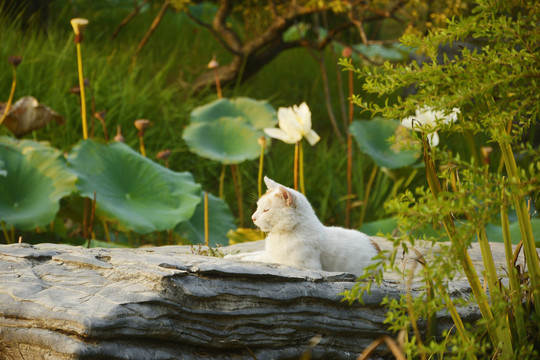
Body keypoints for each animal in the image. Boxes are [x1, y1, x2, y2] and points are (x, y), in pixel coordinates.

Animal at [226, 177, 382, 276]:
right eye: (258, 207)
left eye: (266, 210)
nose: (253, 217)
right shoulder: (272, 252)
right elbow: (251, 253)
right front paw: (232, 257)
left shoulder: (304, 265)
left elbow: (262, 258)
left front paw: (246, 260)